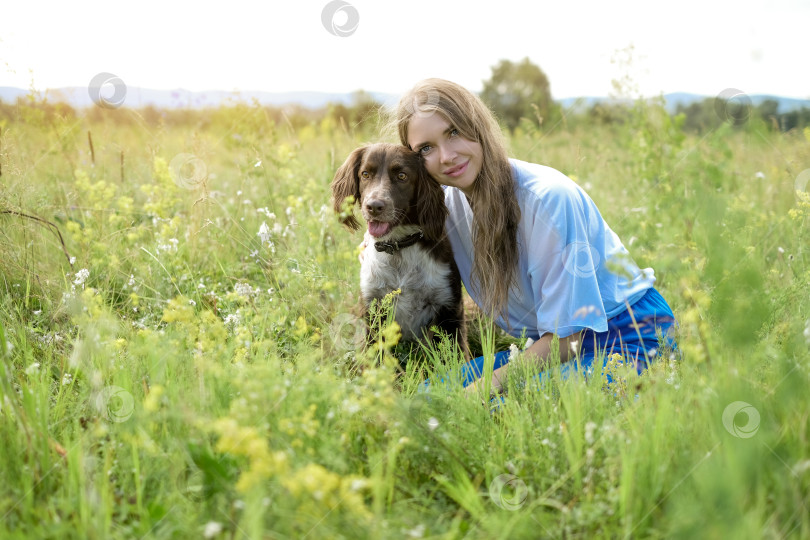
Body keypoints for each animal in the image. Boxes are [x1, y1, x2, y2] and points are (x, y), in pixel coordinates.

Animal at [328, 144, 468, 358]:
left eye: (402, 176)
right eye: (365, 174)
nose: (374, 206)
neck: (398, 247)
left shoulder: (448, 307)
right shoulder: (371, 306)